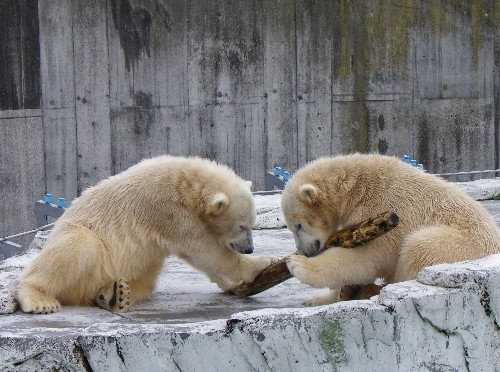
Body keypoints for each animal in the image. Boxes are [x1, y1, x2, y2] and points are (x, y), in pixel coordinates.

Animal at [16, 155, 274, 312]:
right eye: (242, 226)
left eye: (252, 224)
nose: (249, 248)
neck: (186, 181)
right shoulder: (167, 210)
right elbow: (204, 250)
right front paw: (262, 262)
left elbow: (205, 257)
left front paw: (232, 284)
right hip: (83, 235)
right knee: (76, 248)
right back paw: (39, 299)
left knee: (146, 274)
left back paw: (116, 294)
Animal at [282, 153, 500, 306]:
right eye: (291, 228)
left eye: (298, 225)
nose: (305, 251)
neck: (356, 188)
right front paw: (318, 299)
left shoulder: (385, 208)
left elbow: (370, 258)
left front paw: (298, 264)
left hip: (461, 246)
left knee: (420, 247)